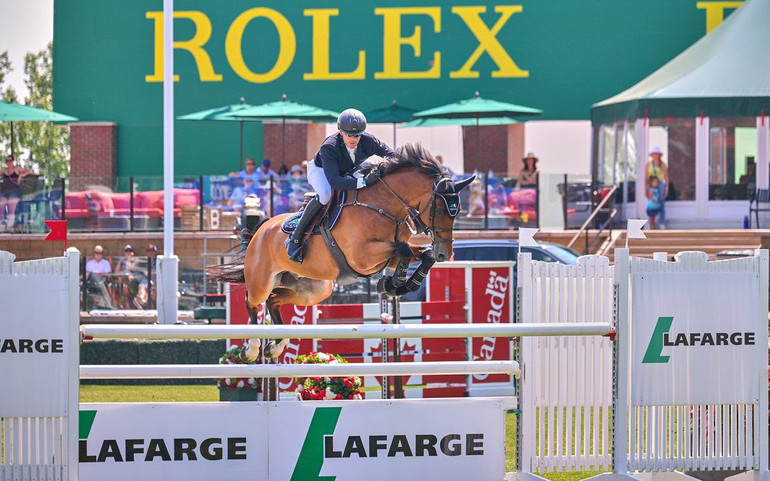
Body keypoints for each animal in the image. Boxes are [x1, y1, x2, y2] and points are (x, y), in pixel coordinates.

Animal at [210, 142, 474, 360]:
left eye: (458, 210)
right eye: (439, 209)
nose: (444, 253)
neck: (385, 206)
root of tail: (260, 230)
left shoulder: (386, 258)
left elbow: (418, 254)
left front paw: (399, 284)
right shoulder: (363, 256)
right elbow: (404, 250)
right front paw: (395, 283)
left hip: (313, 289)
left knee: (274, 300)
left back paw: (275, 347)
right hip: (262, 280)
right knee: (253, 301)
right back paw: (252, 348)